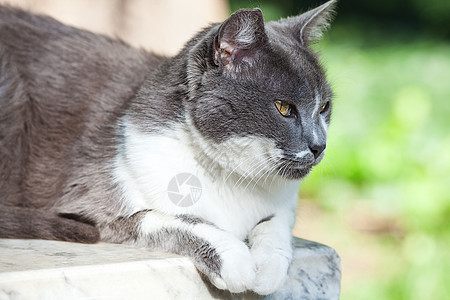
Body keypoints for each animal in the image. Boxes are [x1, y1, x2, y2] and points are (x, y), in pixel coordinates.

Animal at [0, 0, 338, 296]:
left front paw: (268, 270)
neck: (232, 176)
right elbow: (175, 219)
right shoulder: (96, 201)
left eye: (324, 107)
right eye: (284, 108)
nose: (319, 145)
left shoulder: (284, 205)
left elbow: (276, 224)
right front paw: (237, 262)